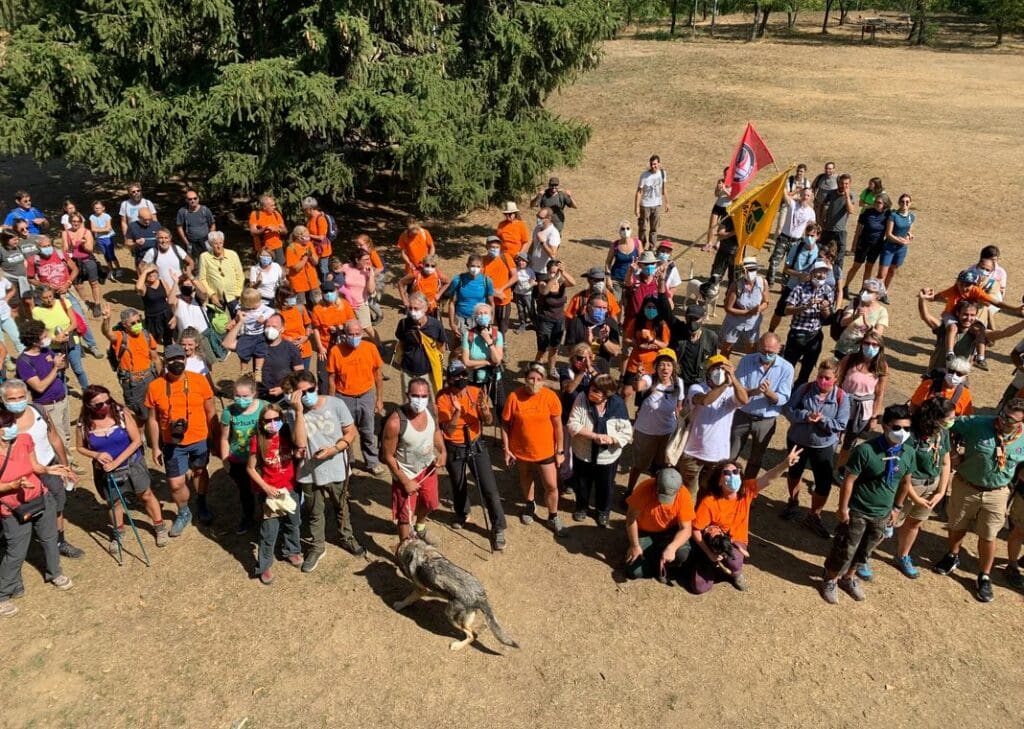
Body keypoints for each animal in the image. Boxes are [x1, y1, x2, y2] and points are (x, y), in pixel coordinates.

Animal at [391, 536, 520, 651]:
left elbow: (408, 598)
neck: (417, 549)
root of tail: (480, 596)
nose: (397, 566)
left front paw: (399, 605)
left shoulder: (420, 589)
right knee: (478, 630)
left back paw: (457, 646)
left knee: (472, 635)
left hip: (451, 616)